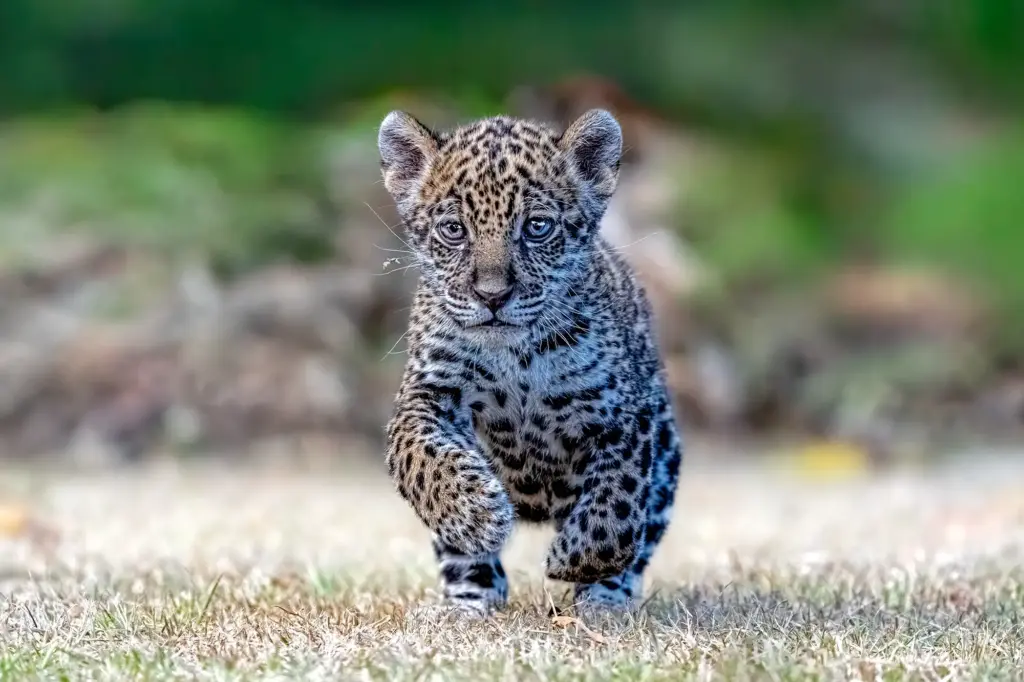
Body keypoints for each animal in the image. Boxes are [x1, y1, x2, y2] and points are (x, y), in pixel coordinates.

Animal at [377, 107, 684, 615]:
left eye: (537, 227)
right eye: (454, 229)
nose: (492, 296)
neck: (516, 357)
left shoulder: (625, 413)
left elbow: (619, 497)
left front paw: (576, 559)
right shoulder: (429, 389)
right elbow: (420, 453)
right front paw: (475, 512)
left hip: (667, 454)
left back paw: (605, 601)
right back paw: (468, 602)